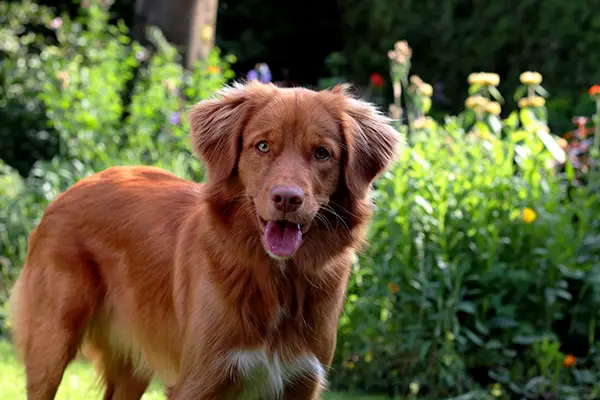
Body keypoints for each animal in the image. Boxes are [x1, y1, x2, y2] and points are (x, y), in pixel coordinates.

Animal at [8, 79, 398, 398]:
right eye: (262, 146)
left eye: (321, 153)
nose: (287, 199)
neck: (277, 280)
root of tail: (70, 187)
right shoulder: (200, 380)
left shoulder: (300, 383)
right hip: (51, 344)